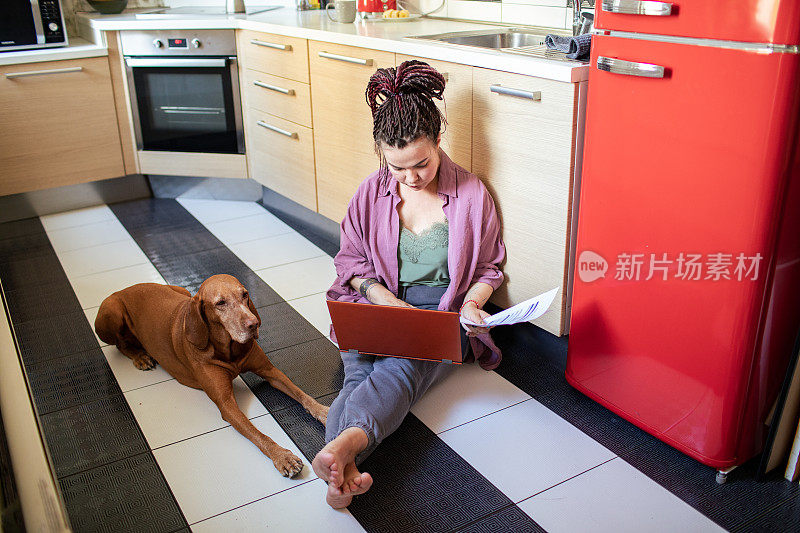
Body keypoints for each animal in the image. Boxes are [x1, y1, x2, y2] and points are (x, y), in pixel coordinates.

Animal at [94, 272, 328, 476]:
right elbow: (258, 434)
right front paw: (282, 456)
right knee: (120, 344)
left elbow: (301, 394)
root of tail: (123, 289)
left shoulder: (270, 372)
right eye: (220, 303)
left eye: (245, 294)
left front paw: (324, 411)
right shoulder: (226, 404)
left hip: (182, 291)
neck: (228, 348)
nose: (254, 324)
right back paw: (140, 356)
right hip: (111, 312)